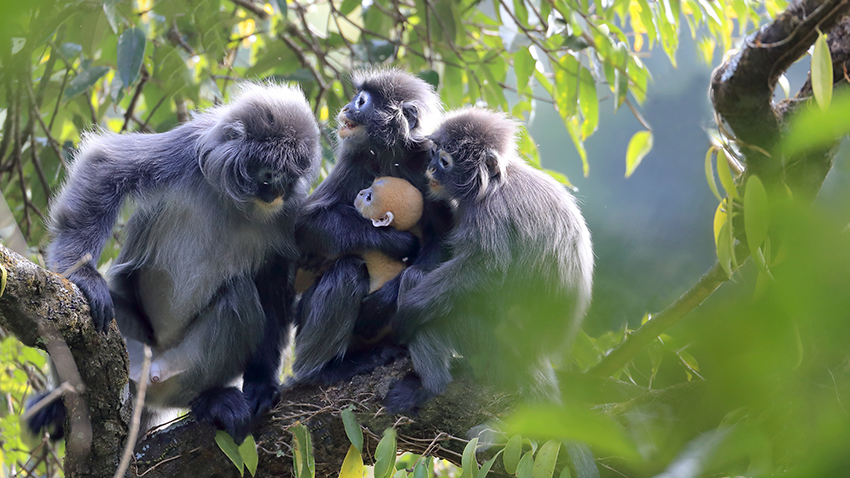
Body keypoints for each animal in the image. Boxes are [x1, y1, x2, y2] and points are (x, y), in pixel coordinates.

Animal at [26, 83, 320, 444]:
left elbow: (274, 291)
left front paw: (262, 383)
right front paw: (82, 273)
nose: (275, 194)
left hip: (180, 372)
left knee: (239, 294)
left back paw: (209, 400)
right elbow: (105, 165)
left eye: (289, 181)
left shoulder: (289, 216)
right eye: (269, 175)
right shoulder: (187, 152)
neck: (234, 202)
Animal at [382, 106, 588, 412]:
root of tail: (533, 357)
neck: (493, 184)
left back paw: (430, 386)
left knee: (418, 285)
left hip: (488, 342)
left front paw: (406, 313)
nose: (430, 169)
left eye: (444, 161)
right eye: (434, 153)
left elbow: (485, 268)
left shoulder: (489, 212)